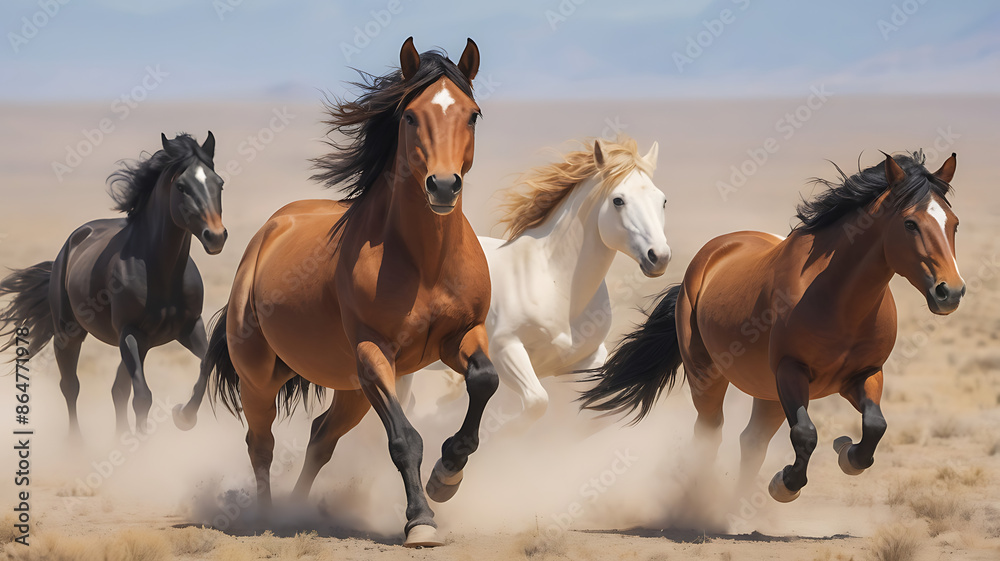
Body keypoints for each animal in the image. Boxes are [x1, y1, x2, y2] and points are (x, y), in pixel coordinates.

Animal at [0, 132, 227, 437]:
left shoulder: (190, 327)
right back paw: (76, 442)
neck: (160, 273)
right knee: (70, 385)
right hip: (69, 334)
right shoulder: (129, 332)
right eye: (181, 186)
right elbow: (142, 396)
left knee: (117, 389)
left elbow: (207, 363)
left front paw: (184, 416)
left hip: (141, 343)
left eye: (219, 183)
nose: (216, 236)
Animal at [200, 38, 495, 548]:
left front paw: (448, 473)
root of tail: (268, 231)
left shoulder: (460, 336)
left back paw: (298, 510)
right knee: (261, 444)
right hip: (261, 377)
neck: (426, 262)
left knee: (321, 437)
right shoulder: (373, 352)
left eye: (472, 114)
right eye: (410, 115)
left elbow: (485, 381)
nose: (442, 186)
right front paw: (421, 520)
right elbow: (404, 439)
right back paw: (267, 517)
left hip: (351, 389)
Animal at [401, 137, 669, 429]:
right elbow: (536, 403)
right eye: (618, 200)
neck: (554, 285)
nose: (659, 257)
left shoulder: (588, 361)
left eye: (662, 200)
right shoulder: (505, 350)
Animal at [580, 151, 964, 503]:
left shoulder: (864, 375)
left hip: (766, 392)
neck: (840, 301)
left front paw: (846, 452)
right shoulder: (790, 371)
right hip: (709, 378)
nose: (951, 292)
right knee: (709, 435)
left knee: (751, 441)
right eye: (910, 224)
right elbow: (806, 433)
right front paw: (786, 484)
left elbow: (874, 426)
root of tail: (709, 255)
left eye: (954, 224)